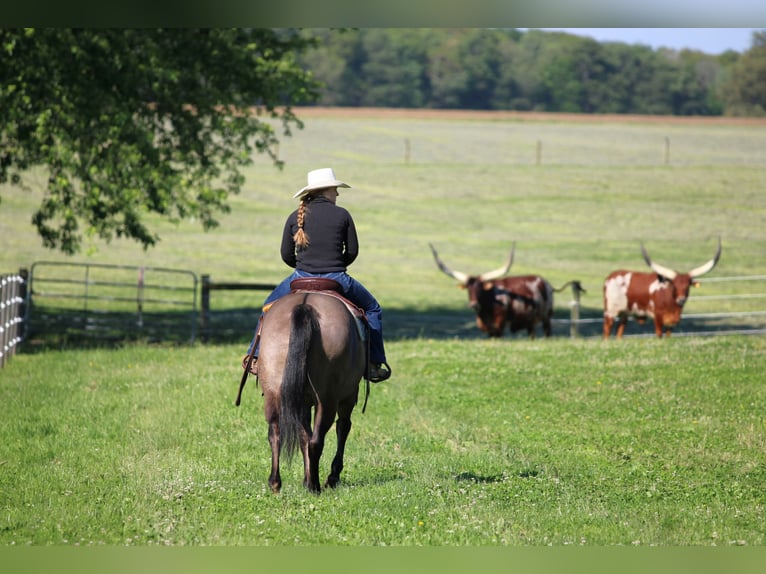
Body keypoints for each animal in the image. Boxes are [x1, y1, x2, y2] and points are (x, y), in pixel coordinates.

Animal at [238, 281, 368, 494]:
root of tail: (305, 306)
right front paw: (331, 477)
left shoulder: (301, 401)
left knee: (275, 433)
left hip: (275, 393)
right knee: (318, 439)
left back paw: (276, 482)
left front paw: (305, 478)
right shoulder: (348, 396)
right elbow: (342, 428)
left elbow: (302, 436)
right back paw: (314, 486)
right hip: (328, 400)